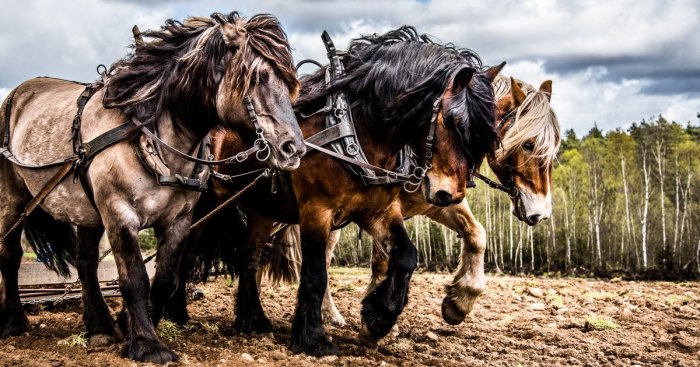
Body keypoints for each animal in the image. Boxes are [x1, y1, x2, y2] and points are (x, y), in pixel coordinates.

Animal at [1, 11, 304, 366]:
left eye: (290, 83)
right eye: (257, 77)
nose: (294, 149)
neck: (151, 138)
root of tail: (18, 93)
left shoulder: (179, 220)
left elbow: (163, 279)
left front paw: (129, 324)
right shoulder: (119, 214)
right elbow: (134, 278)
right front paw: (147, 344)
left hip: (88, 211)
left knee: (85, 261)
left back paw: (99, 326)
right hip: (13, 198)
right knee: (11, 254)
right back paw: (14, 322)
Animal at [164, 26, 504, 356]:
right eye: (452, 121)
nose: (452, 195)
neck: (355, 129)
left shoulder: (378, 210)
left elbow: (407, 256)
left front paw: (378, 317)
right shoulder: (317, 211)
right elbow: (316, 273)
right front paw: (313, 339)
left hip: (264, 207)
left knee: (250, 256)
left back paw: (253, 320)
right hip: (208, 202)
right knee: (188, 249)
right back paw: (177, 313)